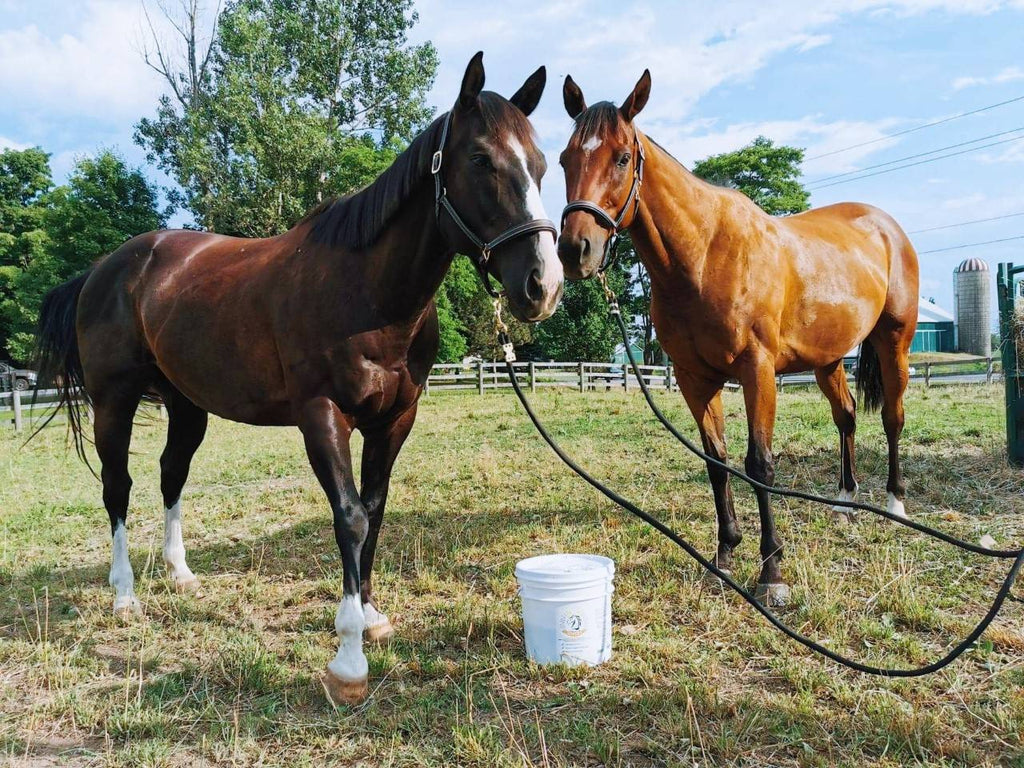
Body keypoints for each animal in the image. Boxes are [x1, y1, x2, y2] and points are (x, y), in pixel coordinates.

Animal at [32, 52, 563, 705]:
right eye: (481, 159)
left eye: (540, 163)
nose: (543, 284)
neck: (366, 290)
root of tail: (103, 269)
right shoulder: (322, 416)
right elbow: (351, 516)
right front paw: (350, 658)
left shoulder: (395, 419)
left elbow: (375, 509)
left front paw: (371, 615)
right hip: (115, 400)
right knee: (118, 487)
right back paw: (125, 595)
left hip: (187, 405)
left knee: (170, 475)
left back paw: (181, 574)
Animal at [555, 70, 919, 605]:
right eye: (564, 158)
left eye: (622, 157)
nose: (574, 250)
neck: (705, 254)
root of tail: (886, 225)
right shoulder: (695, 378)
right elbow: (716, 461)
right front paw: (724, 556)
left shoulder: (756, 371)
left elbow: (759, 464)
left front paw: (772, 573)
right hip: (828, 360)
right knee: (847, 416)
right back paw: (844, 501)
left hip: (894, 343)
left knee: (892, 417)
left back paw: (894, 503)